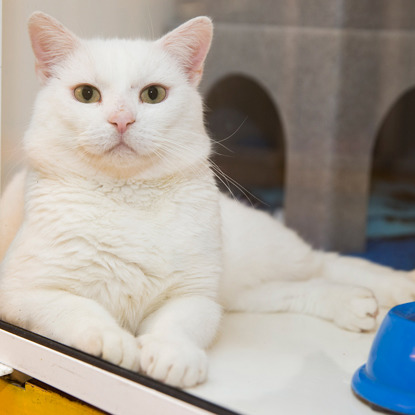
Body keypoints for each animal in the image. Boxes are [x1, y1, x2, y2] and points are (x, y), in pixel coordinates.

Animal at [0, 12, 415, 390]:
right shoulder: (24, 292)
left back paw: (396, 287)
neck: (128, 200)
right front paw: (112, 341)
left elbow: (175, 325)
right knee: (294, 286)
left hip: (257, 259)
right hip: (237, 291)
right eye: (86, 94)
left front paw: (173, 356)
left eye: (153, 94)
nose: (122, 120)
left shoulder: (194, 296)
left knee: (326, 262)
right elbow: (80, 309)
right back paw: (353, 304)